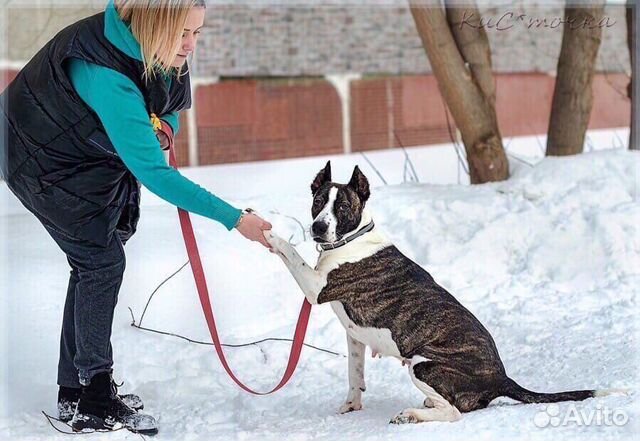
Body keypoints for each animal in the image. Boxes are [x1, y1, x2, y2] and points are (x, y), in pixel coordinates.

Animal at [264, 162, 616, 422]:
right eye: (318, 202)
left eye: (342, 206)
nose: (319, 228)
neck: (353, 239)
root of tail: (501, 378)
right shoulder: (354, 336)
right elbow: (355, 374)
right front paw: (351, 405)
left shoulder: (316, 288)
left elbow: (291, 253)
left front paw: (269, 234)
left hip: (423, 363)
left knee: (454, 412)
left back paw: (412, 415)